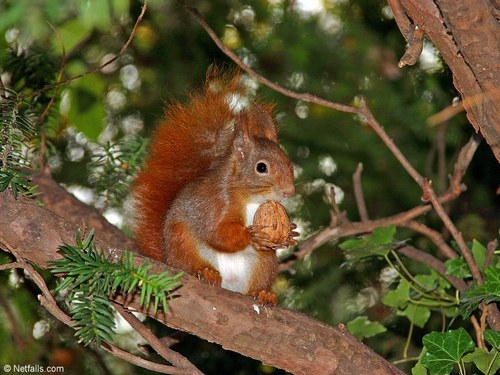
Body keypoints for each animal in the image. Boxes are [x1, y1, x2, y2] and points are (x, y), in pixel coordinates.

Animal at [132, 70, 296, 306]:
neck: (251, 199)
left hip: (264, 263)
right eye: (261, 167)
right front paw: (252, 235)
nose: (289, 192)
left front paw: (291, 231)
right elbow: (216, 233)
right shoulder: (216, 203)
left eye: (289, 163)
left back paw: (262, 293)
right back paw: (205, 271)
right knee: (189, 263)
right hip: (183, 243)